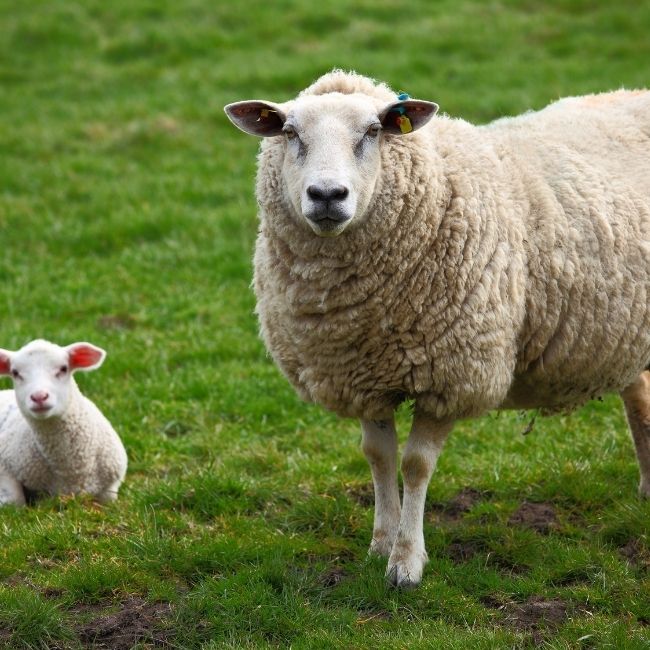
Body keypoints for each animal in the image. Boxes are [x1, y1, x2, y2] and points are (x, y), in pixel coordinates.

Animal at [0, 339, 127, 506]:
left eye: (63, 368)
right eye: (15, 373)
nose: (39, 396)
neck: (70, 470)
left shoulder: (111, 486)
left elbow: (109, 500)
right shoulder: (4, 466)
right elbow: (15, 500)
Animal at [225, 70, 650, 587]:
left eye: (374, 131)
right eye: (289, 133)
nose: (327, 195)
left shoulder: (451, 374)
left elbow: (415, 464)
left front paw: (406, 562)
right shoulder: (363, 374)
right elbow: (379, 456)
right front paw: (379, 545)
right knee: (639, 392)